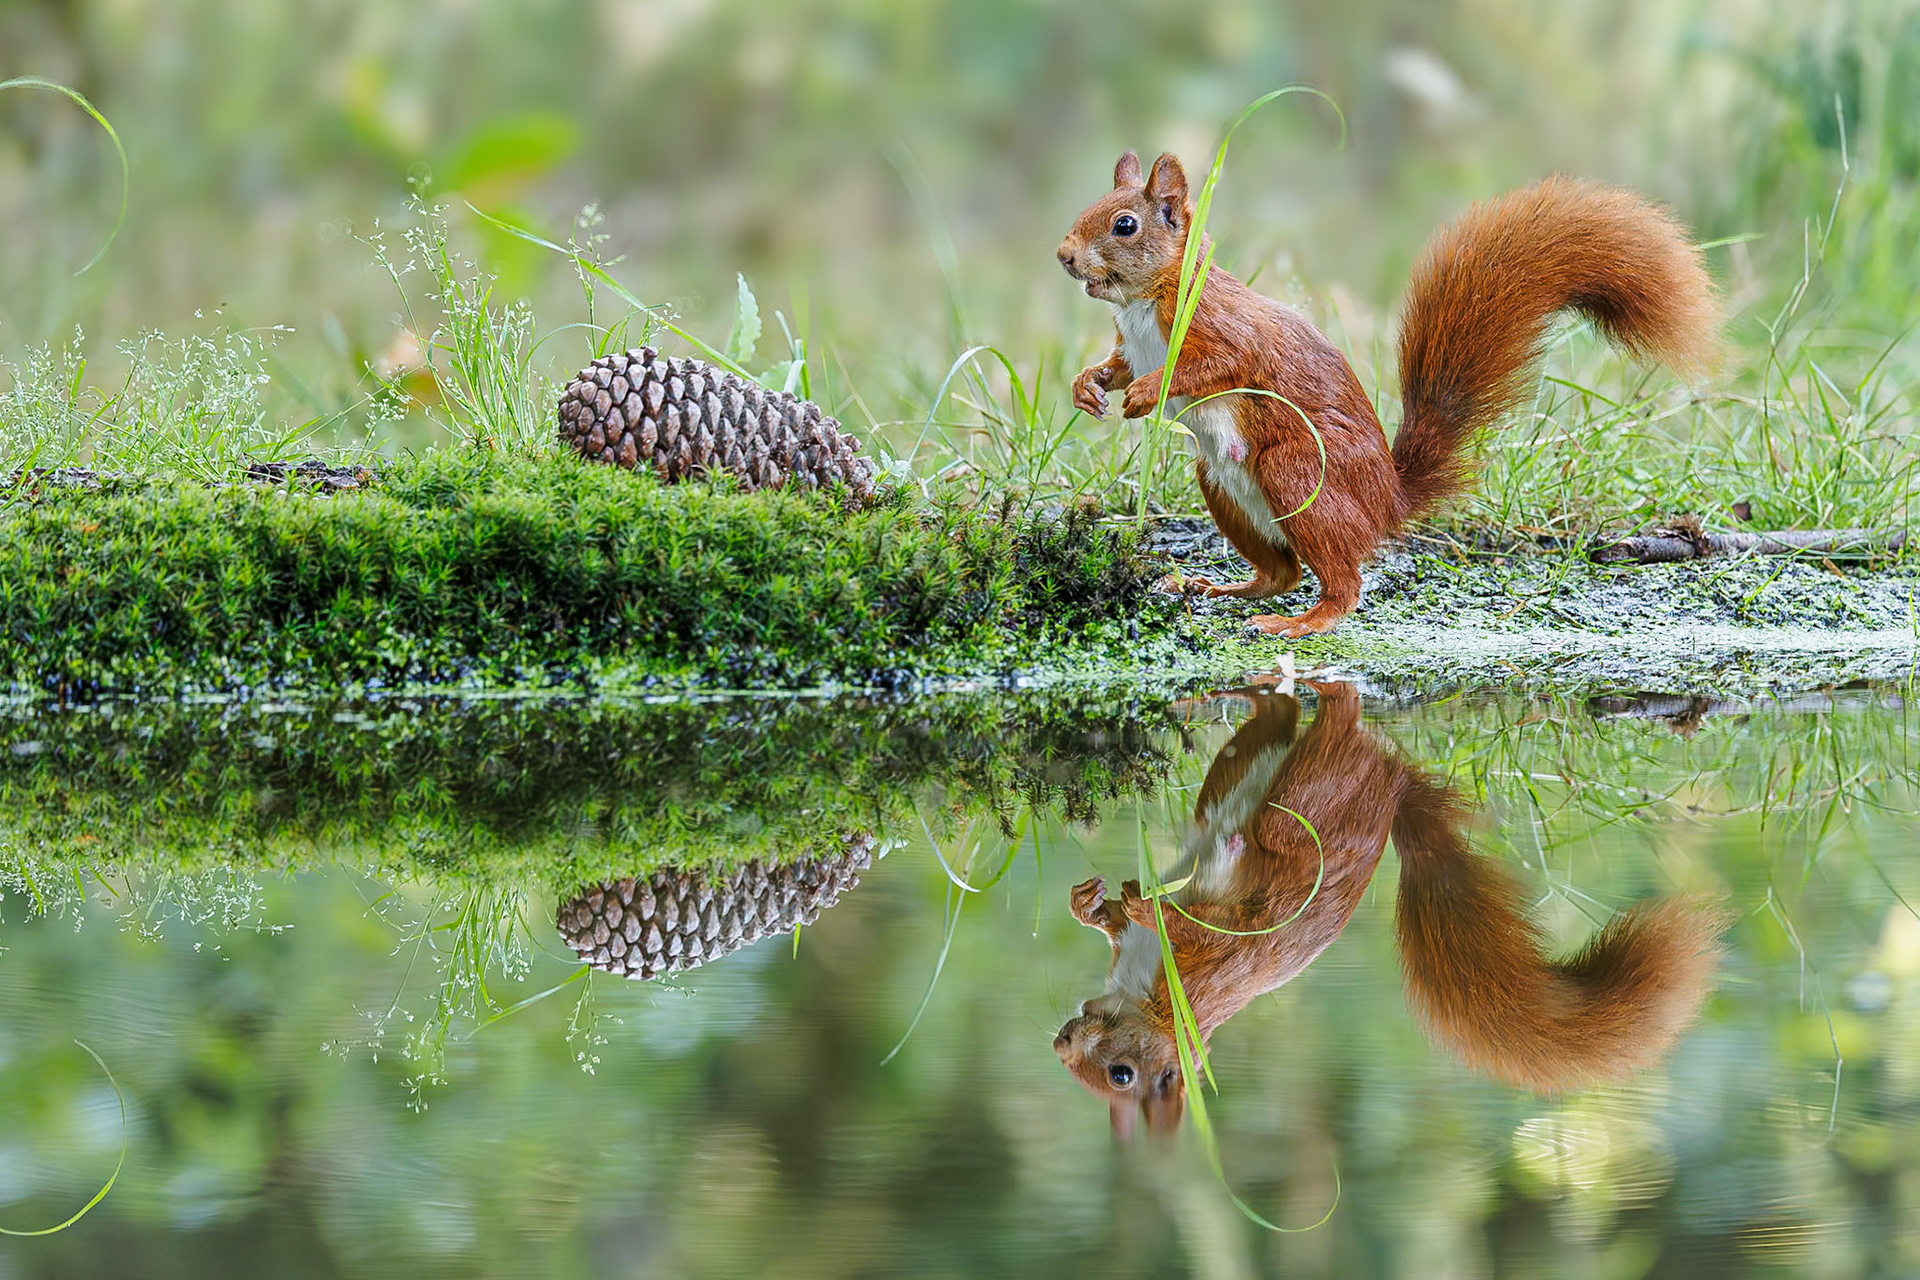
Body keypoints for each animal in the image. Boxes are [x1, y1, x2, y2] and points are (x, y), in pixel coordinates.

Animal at [1053, 682, 1725, 1136]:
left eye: (1120, 1076)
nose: (1060, 1043)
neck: (1143, 998)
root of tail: (1395, 794)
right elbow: (1113, 927)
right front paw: (1089, 905)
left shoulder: (1214, 967)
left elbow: (1216, 931)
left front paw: (1145, 910)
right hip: (1238, 776)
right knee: (1272, 728)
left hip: (1306, 805)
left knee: (1331, 741)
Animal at [1057, 153, 1719, 635]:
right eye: (1089, 207)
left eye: (1124, 224)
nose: (1063, 255)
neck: (1144, 302)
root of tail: (1388, 501)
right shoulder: (1131, 343)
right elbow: (1114, 366)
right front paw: (1089, 388)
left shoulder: (1222, 330)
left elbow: (1217, 366)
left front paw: (1146, 394)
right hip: (1222, 484)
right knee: (1281, 573)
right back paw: (1219, 587)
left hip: (1297, 471)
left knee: (1340, 584)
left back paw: (1301, 624)